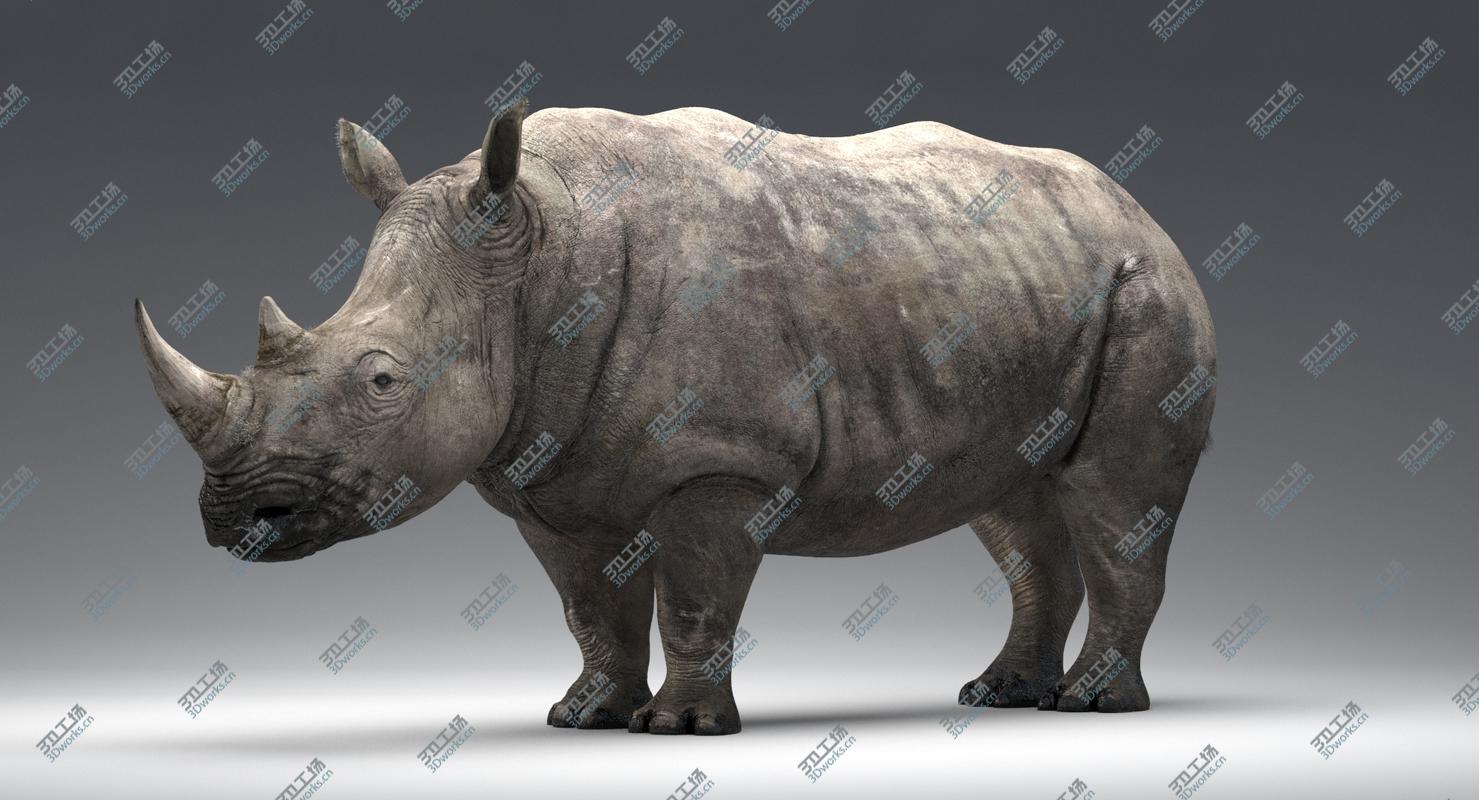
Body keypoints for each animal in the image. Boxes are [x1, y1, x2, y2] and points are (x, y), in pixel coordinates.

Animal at [134, 99, 1215, 735]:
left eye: (382, 382)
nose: (232, 516)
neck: (537, 255)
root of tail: (1140, 209)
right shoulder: (549, 472)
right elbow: (590, 607)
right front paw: (583, 715)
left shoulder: (723, 460)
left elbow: (692, 599)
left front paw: (682, 728)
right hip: (1018, 286)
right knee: (1014, 503)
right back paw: (999, 694)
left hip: (1145, 292)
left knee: (1116, 497)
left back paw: (1092, 704)